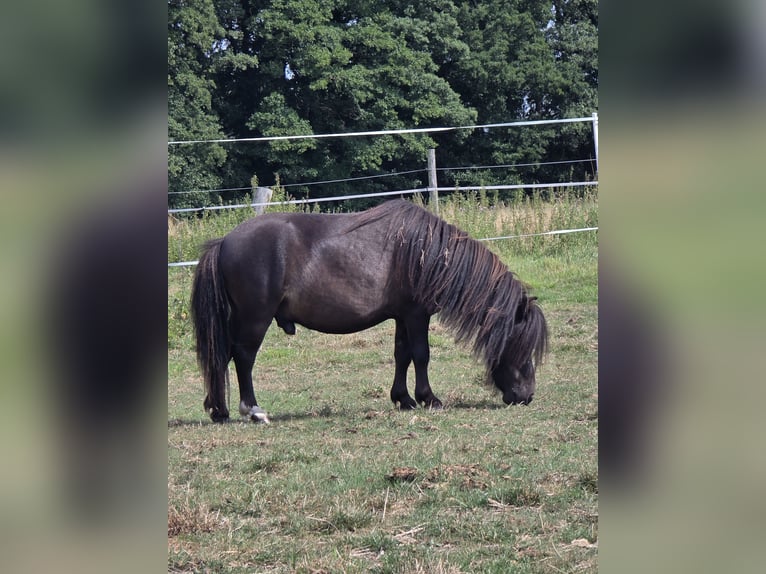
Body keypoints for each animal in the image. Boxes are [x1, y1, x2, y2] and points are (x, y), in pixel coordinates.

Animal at [191, 199, 548, 423]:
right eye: (522, 346)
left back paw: (219, 410)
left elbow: (402, 355)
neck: (426, 252)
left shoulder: (402, 316)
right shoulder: (417, 315)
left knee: (222, 356)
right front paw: (429, 398)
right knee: (243, 357)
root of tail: (224, 242)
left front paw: (403, 399)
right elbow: (422, 355)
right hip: (255, 319)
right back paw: (252, 410)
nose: (527, 396)